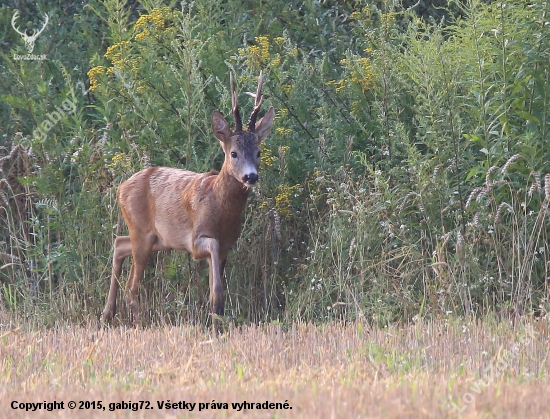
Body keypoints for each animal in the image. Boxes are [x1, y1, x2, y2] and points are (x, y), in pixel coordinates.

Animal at [102, 73, 274, 324]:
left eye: (259, 152)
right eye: (233, 153)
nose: (251, 176)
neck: (219, 208)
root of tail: (121, 187)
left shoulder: (228, 246)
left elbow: (216, 279)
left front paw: (217, 315)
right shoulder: (196, 240)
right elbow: (214, 264)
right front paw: (217, 307)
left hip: (157, 238)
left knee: (120, 244)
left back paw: (108, 312)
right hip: (141, 231)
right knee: (132, 285)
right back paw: (138, 320)